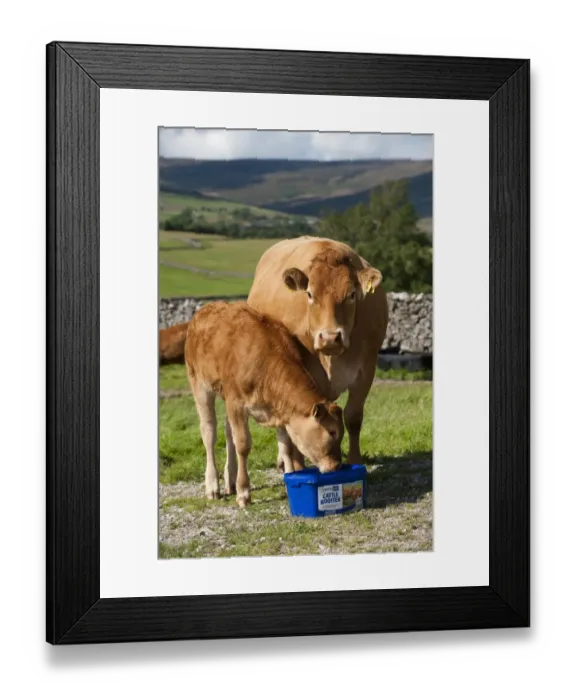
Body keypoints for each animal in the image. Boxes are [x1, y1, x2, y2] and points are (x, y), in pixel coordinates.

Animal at [184, 301, 344, 507]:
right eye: (332, 432)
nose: (337, 466)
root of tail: (205, 309)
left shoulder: (281, 412)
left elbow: (285, 445)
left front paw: (289, 478)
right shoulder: (237, 403)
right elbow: (243, 445)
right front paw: (244, 492)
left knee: (228, 433)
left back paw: (230, 480)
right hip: (199, 384)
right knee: (209, 432)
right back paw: (213, 486)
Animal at [247, 236, 388, 469]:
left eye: (351, 295)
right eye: (310, 294)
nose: (330, 337)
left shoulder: (366, 368)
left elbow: (353, 417)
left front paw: (354, 460)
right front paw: (297, 466)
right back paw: (284, 459)